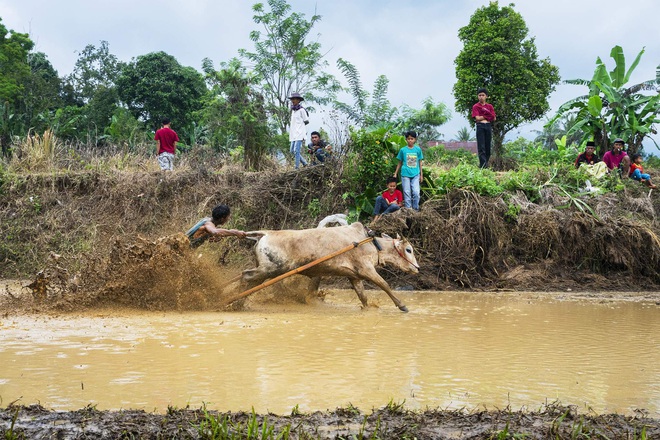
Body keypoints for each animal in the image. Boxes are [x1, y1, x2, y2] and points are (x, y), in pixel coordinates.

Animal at [242, 222, 418, 312]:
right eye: (408, 250)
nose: (417, 268)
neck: (371, 243)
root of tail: (266, 233)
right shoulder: (366, 269)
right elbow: (385, 285)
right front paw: (402, 306)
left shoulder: (354, 276)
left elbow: (363, 297)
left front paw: (368, 309)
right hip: (270, 269)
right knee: (246, 275)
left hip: (266, 270)